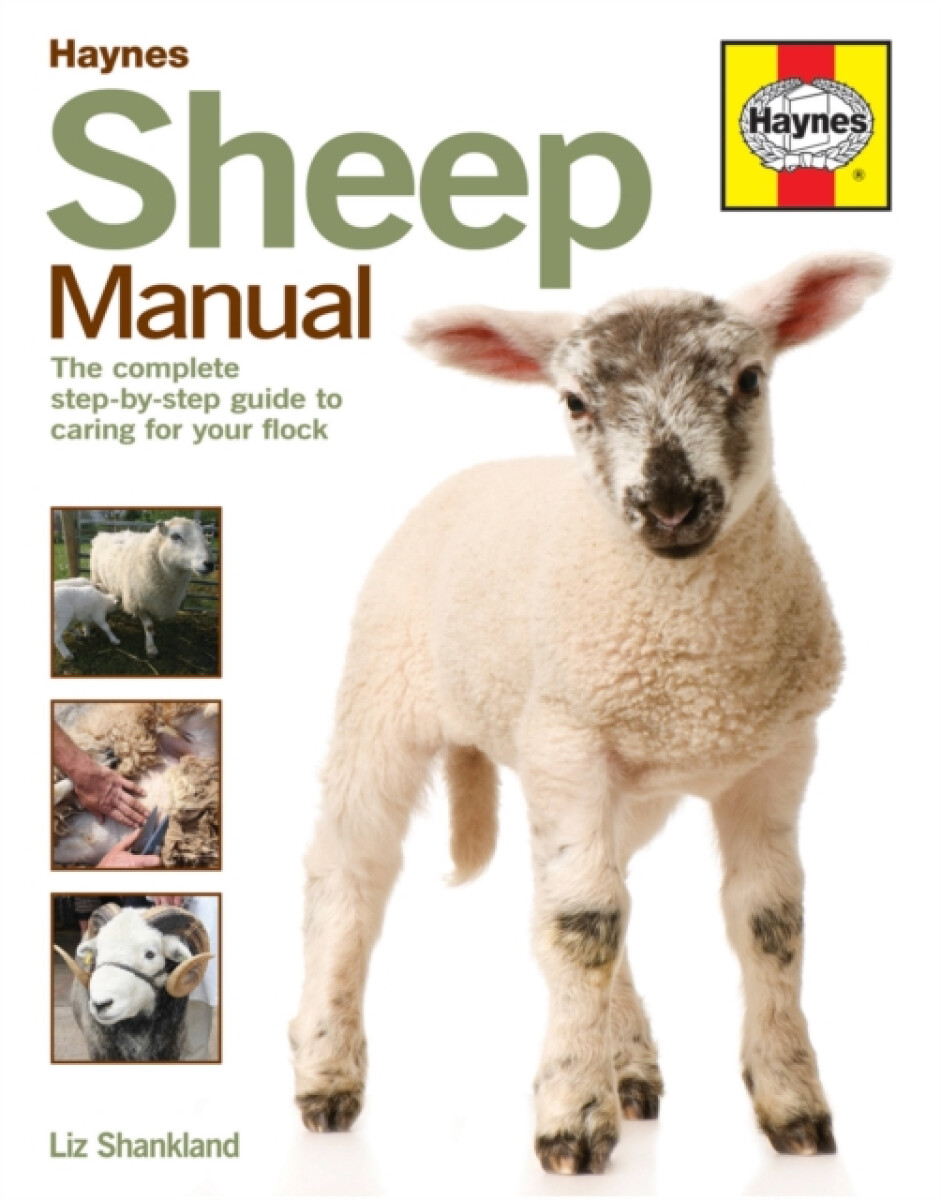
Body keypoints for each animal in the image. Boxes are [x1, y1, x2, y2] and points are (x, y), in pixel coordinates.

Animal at [90, 517, 215, 657]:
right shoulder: (138, 600)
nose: (210, 564)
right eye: (175, 536)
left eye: (204, 536)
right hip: (97, 578)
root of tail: (102, 535)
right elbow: (149, 625)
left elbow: (151, 624)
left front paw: (152, 635)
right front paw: (151, 648)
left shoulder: (155, 599)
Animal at [290, 252, 889, 1174]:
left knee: (602, 884)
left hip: (622, 781)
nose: (670, 503)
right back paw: (324, 1072)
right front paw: (571, 1117)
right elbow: (582, 927)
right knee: (349, 873)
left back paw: (630, 1065)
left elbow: (769, 923)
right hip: (383, 696)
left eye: (749, 380)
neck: (696, 666)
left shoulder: (775, 756)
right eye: (574, 401)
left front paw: (792, 1105)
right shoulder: (569, 742)